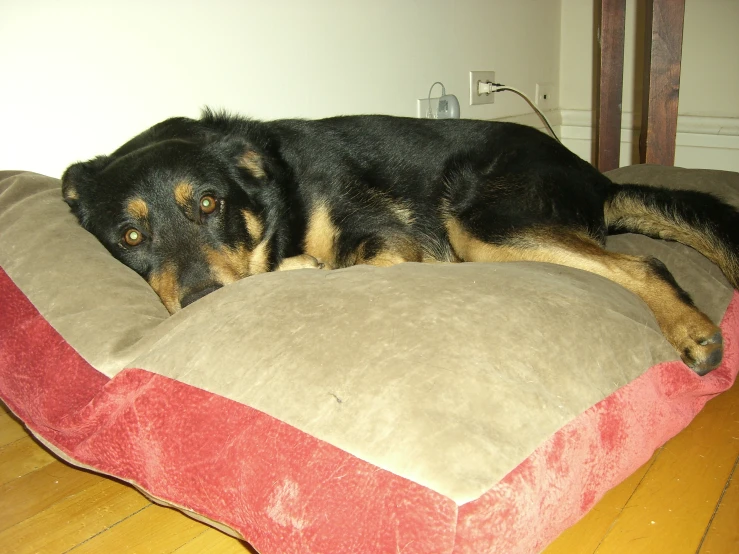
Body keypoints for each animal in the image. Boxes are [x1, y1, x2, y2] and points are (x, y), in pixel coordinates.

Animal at [62, 109, 739, 374]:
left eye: (208, 204)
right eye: (130, 235)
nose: (202, 299)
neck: (280, 196)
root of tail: (598, 178)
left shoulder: (382, 240)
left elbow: (325, 266)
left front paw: (296, 267)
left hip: (480, 222)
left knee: (641, 262)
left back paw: (691, 330)